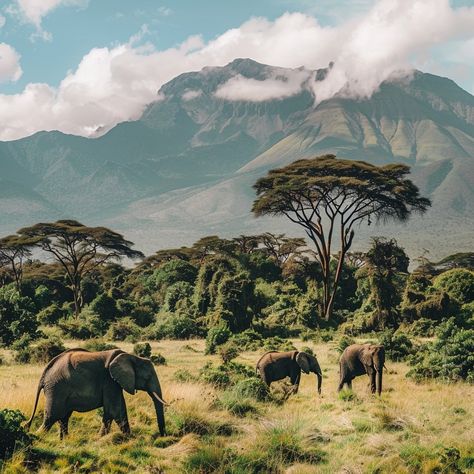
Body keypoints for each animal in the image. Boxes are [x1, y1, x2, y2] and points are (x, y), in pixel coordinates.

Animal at [25, 346, 168, 438]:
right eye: (147, 377)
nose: (163, 436)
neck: (132, 357)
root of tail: (45, 373)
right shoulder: (109, 380)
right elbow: (114, 410)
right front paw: (124, 438)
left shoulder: (115, 383)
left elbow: (119, 408)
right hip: (56, 388)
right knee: (53, 416)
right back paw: (37, 437)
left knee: (64, 417)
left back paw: (65, 440)